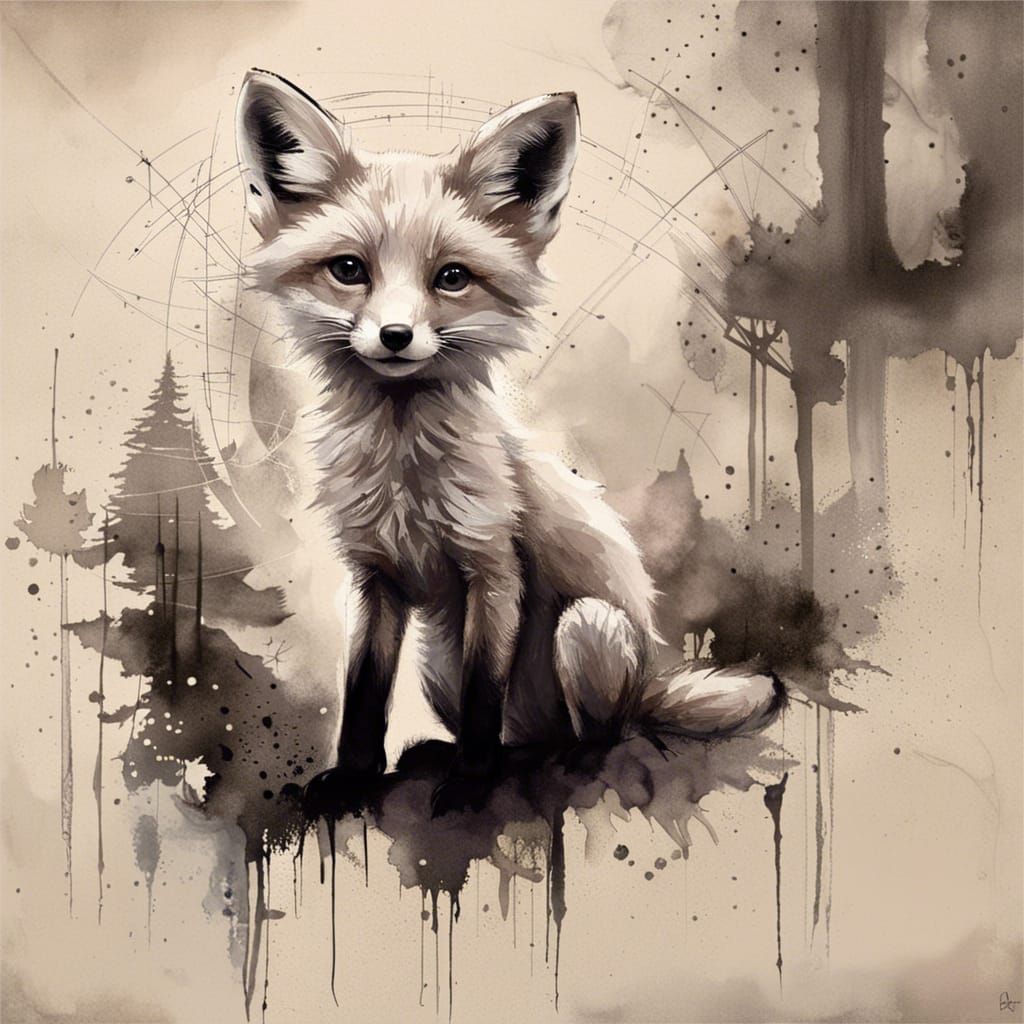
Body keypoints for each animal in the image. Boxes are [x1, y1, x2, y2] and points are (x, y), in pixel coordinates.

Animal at [234, 70, 784, 815]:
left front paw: (471, 782)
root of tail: (650, 681)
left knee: (600, 734)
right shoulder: (374, 578)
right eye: (349, 270)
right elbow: (365, 695)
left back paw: (558, 758)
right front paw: (353, 778)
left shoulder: (494, 570)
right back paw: (455, 753)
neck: (405, 470)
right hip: (436, 656)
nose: (396, 336)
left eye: (452, 277)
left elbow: (482, 697)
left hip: (586, 627)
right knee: (519, 733)